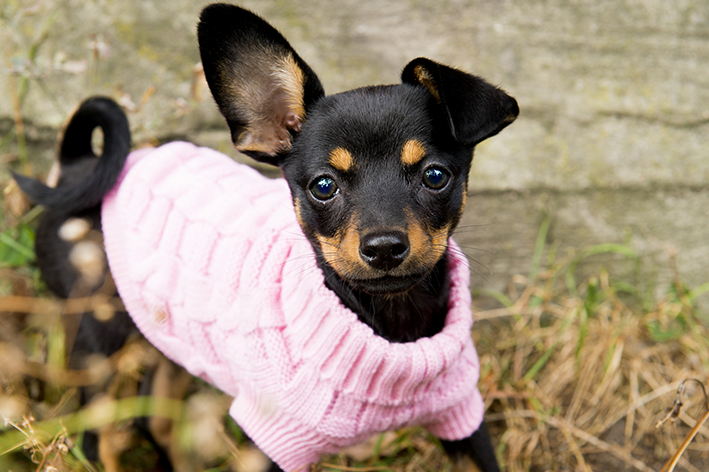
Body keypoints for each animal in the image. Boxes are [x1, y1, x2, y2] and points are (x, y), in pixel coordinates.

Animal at [15, 4, 516, 472]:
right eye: (323, 186)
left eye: (436, 176)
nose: (384, 247)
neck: (391, 325)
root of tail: (78, 166)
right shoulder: (272, 440)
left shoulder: (463, 420)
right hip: (94, 342)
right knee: (95, 439)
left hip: (170, 341)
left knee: (153, 419)